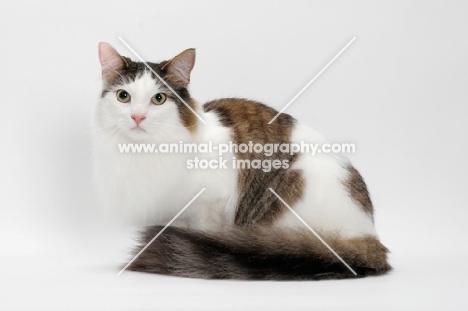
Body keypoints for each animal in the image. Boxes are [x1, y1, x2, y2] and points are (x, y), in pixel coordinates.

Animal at [92, 42, 392, 282]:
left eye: (158, 99)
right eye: (123, 96)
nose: (137, 117)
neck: (148, 150)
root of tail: (369, 234)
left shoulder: (209, 206)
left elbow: (201, 235)